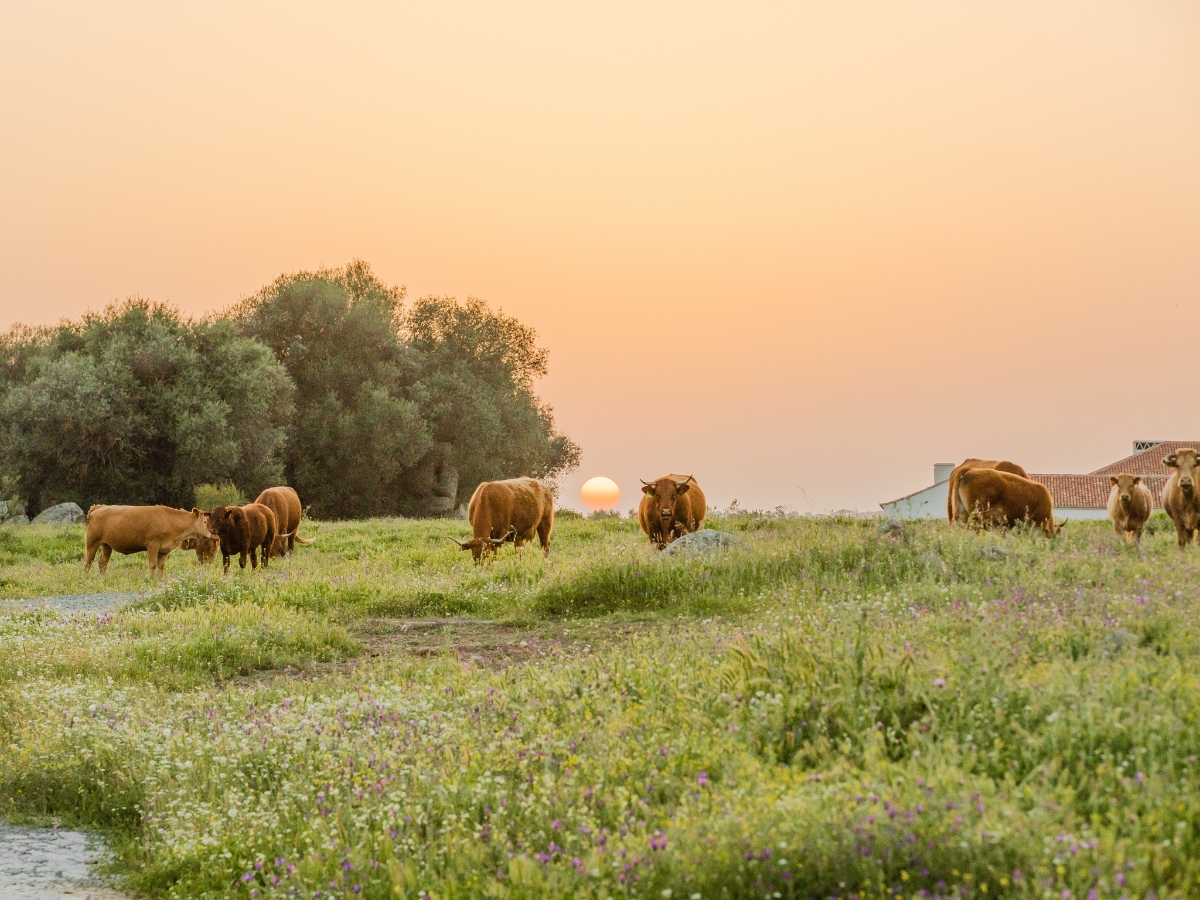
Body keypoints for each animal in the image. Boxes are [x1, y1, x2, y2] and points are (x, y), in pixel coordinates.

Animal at [84, 505, 213, 578]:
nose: (209, 533)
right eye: (205, 522)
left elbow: (161, 566)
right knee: (88, 561)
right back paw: (85, 577)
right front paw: (151, 579)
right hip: (92, 542)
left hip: (106, 545)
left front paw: (160, 580)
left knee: (103, 563)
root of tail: (99, 507)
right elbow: (153, 565)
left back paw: (104, 577)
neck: (170, 521)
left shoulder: (163, 551)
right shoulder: (153, 545)